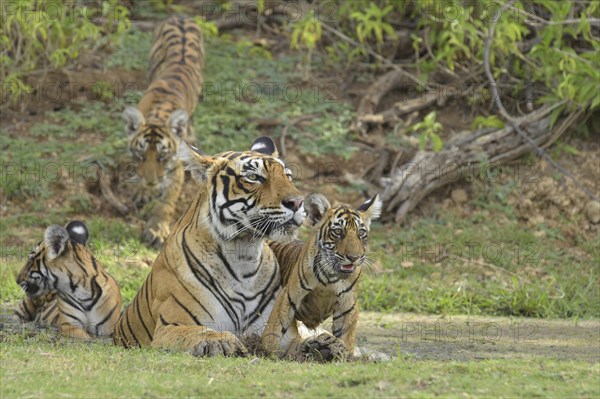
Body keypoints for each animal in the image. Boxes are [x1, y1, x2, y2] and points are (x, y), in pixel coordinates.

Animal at [123, 15, 205, 248]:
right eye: (141, 155)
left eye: (162, 157)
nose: (151, 182)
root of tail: (181, 15)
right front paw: (142, 190)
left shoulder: (175, 166)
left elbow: (167, 199)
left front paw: (157, 229)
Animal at [264, 192, 384, 360]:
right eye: (338, 232)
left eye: (361, 233)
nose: (353, 257)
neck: (331, 277)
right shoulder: (289, 294)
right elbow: (276, 325)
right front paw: (266, 349)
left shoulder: (348, 305)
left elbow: (346, 336)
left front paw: (343, 354)